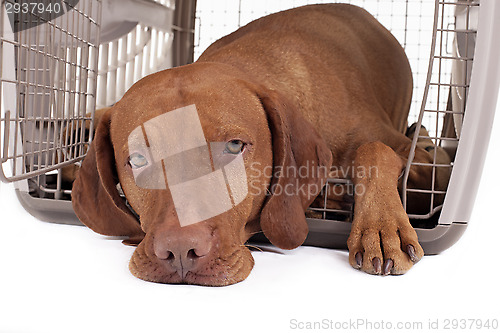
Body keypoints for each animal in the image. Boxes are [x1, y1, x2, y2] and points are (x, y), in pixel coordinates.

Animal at [71, 4, 438, 286]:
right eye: (136, 159)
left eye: (235, 146)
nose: (179, 252)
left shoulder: (416, 156)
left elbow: (374, 150)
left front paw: (381, 227)